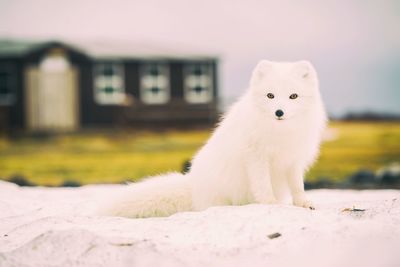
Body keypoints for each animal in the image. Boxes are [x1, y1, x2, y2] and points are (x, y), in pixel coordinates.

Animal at [101, 60, 328, 218]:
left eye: (293, 96)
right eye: (270, 96)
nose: (279, 112)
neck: (281, 132)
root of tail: (193, 185)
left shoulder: (294, 160)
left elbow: (298, 186)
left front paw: (303, 203)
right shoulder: (256, 156)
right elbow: (262, 184)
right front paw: (270, 203)